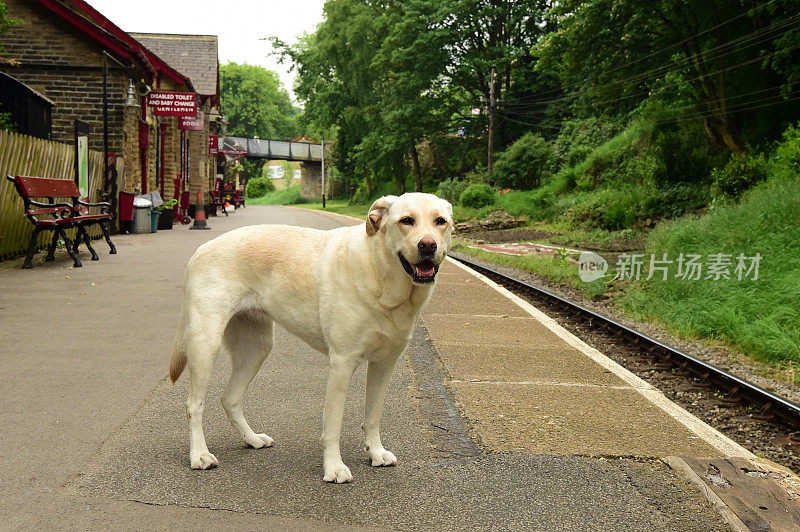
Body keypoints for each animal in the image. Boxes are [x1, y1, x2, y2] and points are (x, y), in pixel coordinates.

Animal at [167, 192, 450, 482]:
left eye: (441, 221)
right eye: (406, 220)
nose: (428, 245)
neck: (382, 277)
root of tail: (202, 248)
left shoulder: (384, 364)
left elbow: (373, 416)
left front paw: (376, 452)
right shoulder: (342, 363)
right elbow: (333, 424)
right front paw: (334, 467)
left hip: (257, 348)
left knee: (230, 399)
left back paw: (252, 439)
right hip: (205, 345)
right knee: (194, 405)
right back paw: (199, 455)